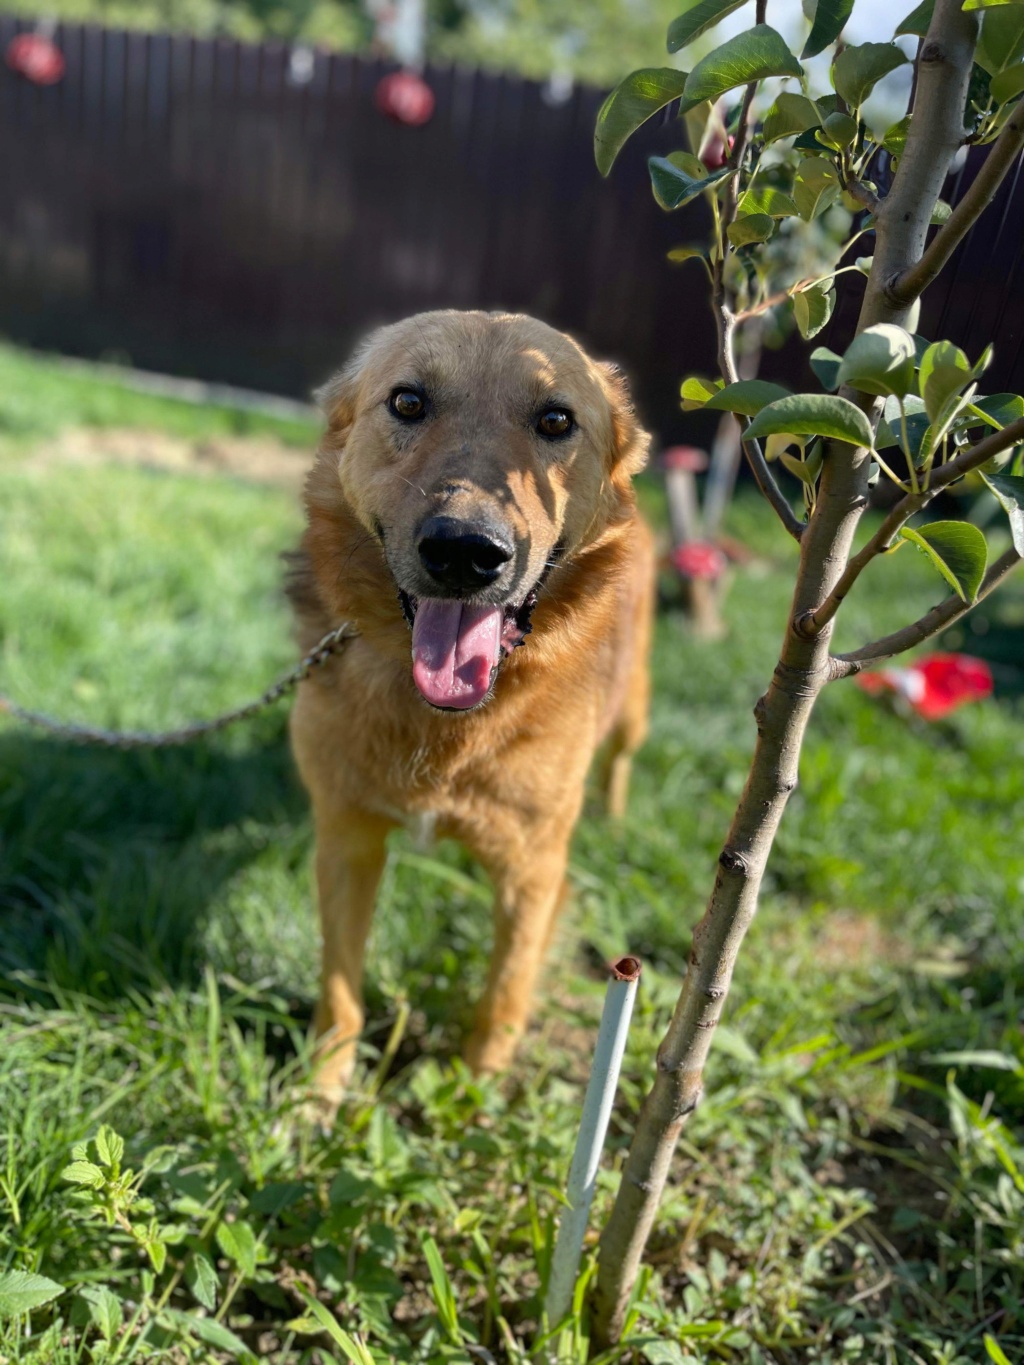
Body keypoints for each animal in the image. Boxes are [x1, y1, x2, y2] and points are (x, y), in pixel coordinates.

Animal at [286, 309, 658, 1108]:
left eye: (556, 420)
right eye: (407, 402)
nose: (465, 552)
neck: (447, 723)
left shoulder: (533, 871)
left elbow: (506, 991)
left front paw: (476, 1095)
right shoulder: (346, 840)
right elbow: (340, 985)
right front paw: (321, 1090)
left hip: (634, 707)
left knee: (621, 759)